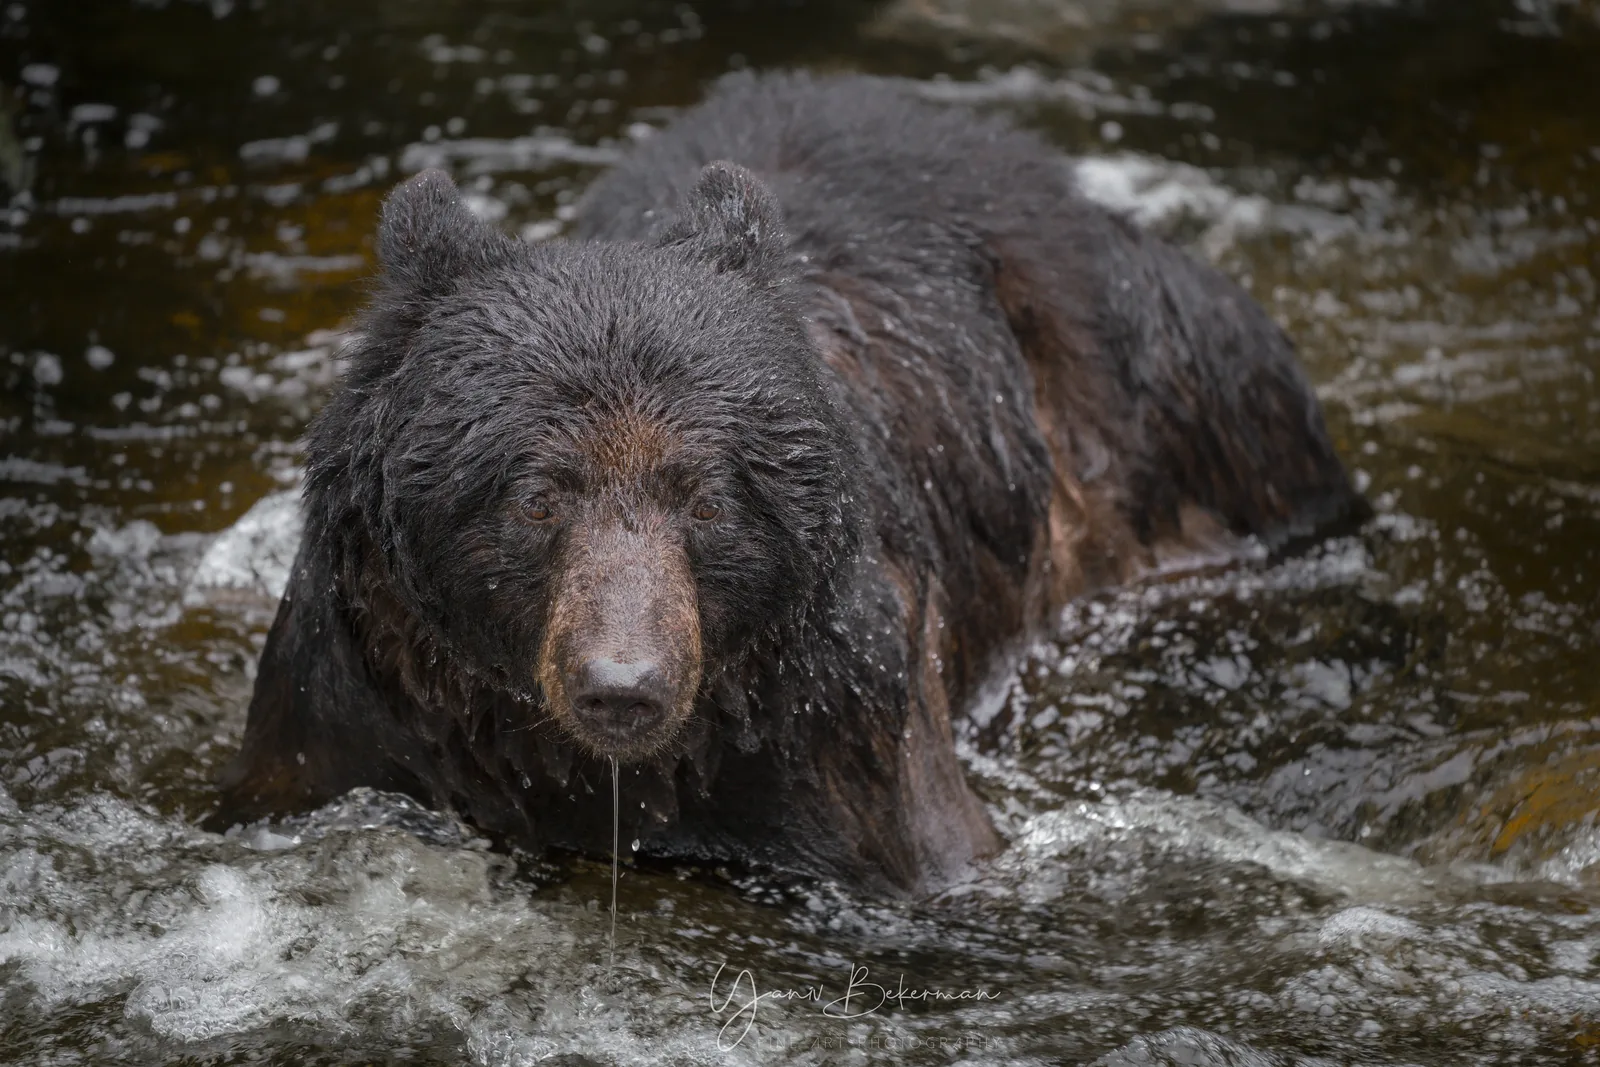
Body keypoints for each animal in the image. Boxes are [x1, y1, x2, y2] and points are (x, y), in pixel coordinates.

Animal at [213, 71, 1364, 896]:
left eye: (707, 497)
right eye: (537, 494)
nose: (623, 684)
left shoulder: (835, 726)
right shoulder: (356, 695)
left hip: (1195, 392)